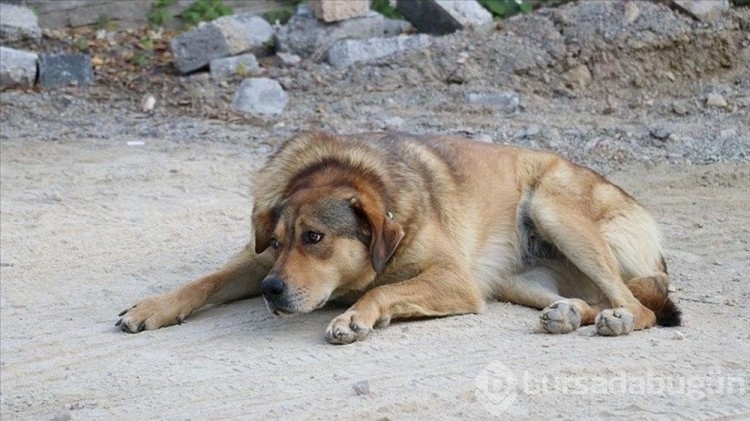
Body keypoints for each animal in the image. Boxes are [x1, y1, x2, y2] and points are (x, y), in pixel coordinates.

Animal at [116, 130, 680, 342]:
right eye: (276, 242)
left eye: (314, 238)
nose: (270, 293)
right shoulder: (255, 263)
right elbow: (204, 281)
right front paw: (154, 307)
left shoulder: (455, 279)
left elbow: (383, 290)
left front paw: (355, 316)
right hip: (519, 282)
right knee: (593, 299)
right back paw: (567, 314)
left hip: (552, 209)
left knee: (640, 304)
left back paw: (619, 319)